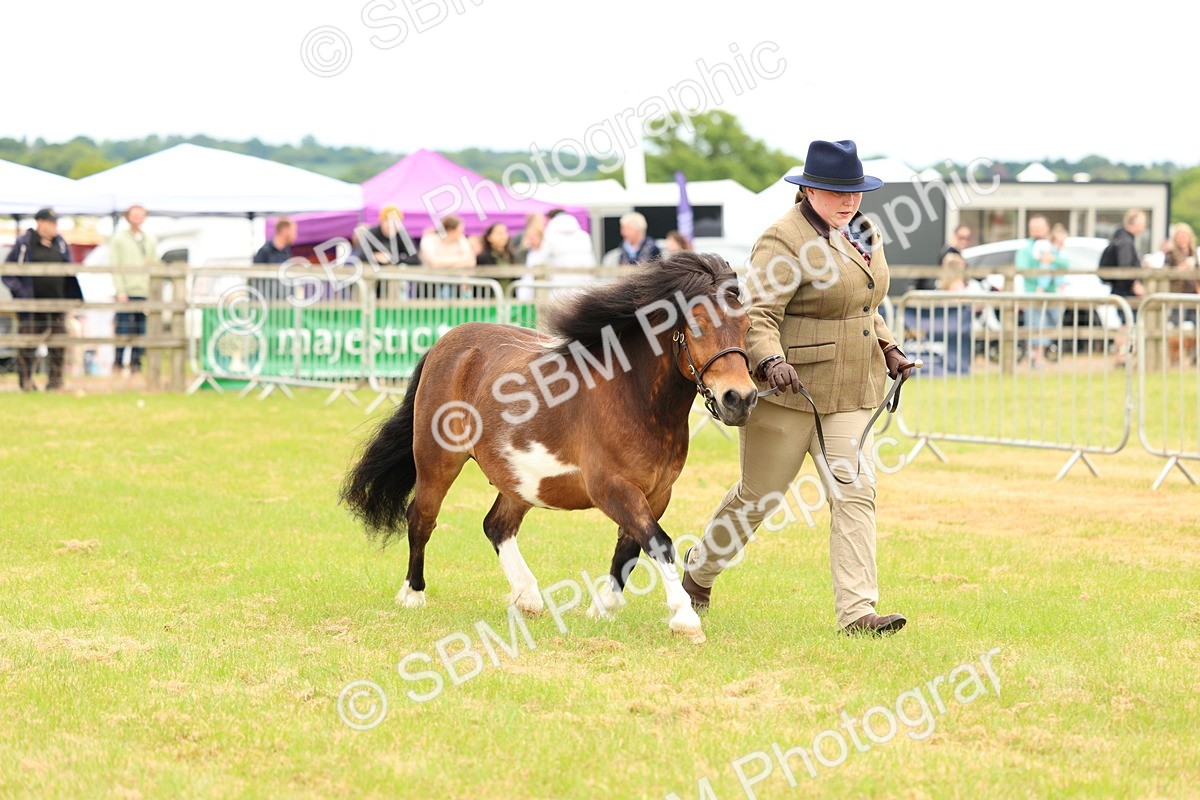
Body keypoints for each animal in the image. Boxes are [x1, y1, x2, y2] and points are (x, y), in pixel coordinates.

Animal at [340, 251, 758, 643]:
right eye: (698, 325)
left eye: (747, 326)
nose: (739, 398)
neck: (634, 396)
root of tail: (446, 344)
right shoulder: (612, 488)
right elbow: (659, 542)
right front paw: (685, 620)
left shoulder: (656, 493)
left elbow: (629, 549)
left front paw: (601, 609)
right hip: (437, 461)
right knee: (421, 518)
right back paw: (413, 595)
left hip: (520, 479)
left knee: (496, 526)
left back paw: (528, 597)